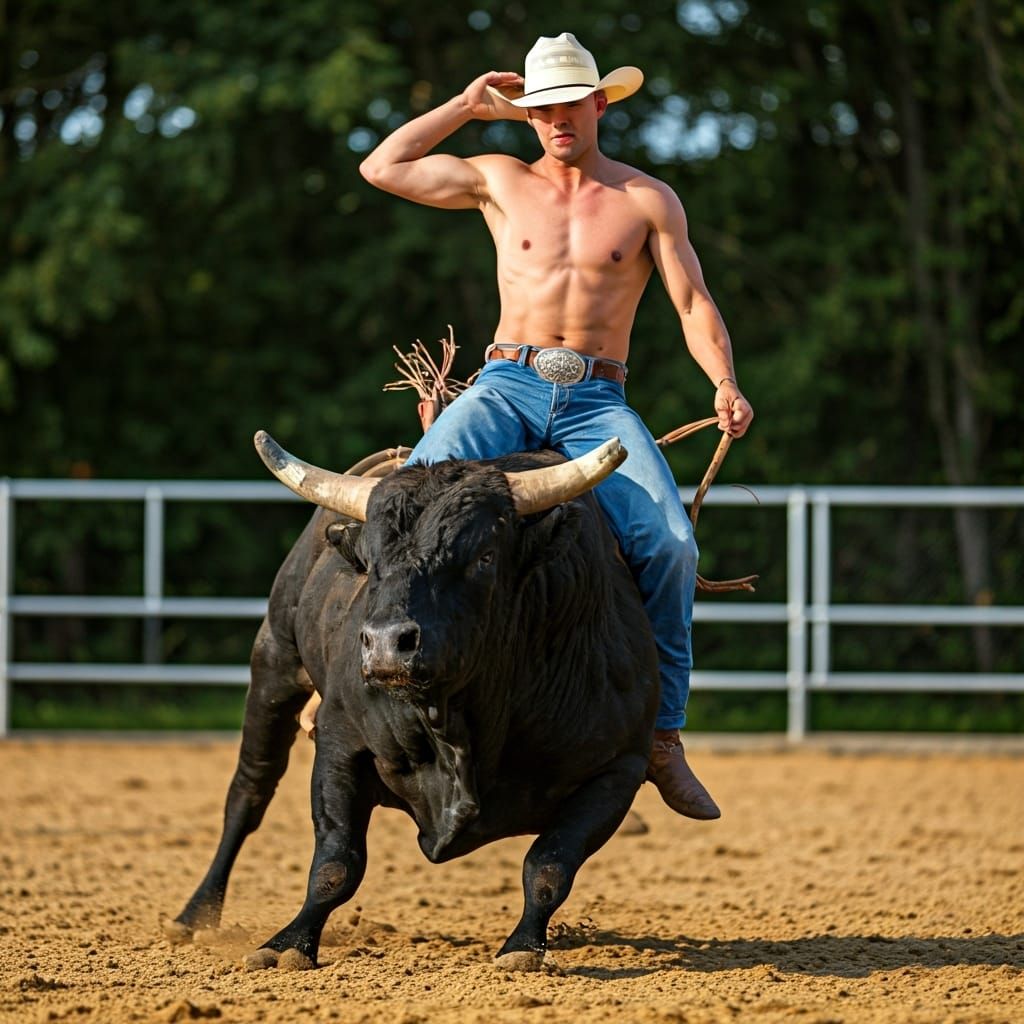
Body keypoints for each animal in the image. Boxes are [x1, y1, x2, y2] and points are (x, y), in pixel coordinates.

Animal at [167, 431, 659, 972]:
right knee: (249, 793)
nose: (386, 644)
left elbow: (549, 866)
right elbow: (336, 863)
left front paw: (523, 947)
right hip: (275, 661)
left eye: (485, 556)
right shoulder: (339, 743)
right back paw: (194, 915)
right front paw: (288, 943)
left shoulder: (618, 768)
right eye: (370, 563)